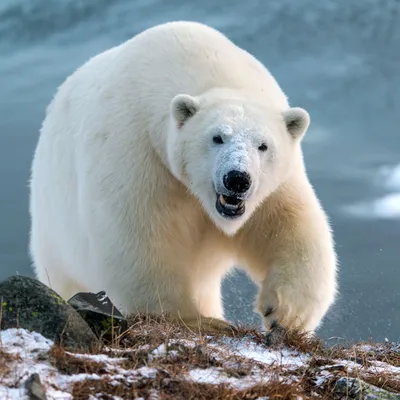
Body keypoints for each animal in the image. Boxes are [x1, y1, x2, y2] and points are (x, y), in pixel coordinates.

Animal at [28, 21, 338, 334]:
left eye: (263, 145)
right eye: (217, 137)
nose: (237, 179)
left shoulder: (273, 186)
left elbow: (291, 226)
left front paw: (284, 313)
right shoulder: (138, 153)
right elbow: (139, 236)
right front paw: (196, 321)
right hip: (55, 235)